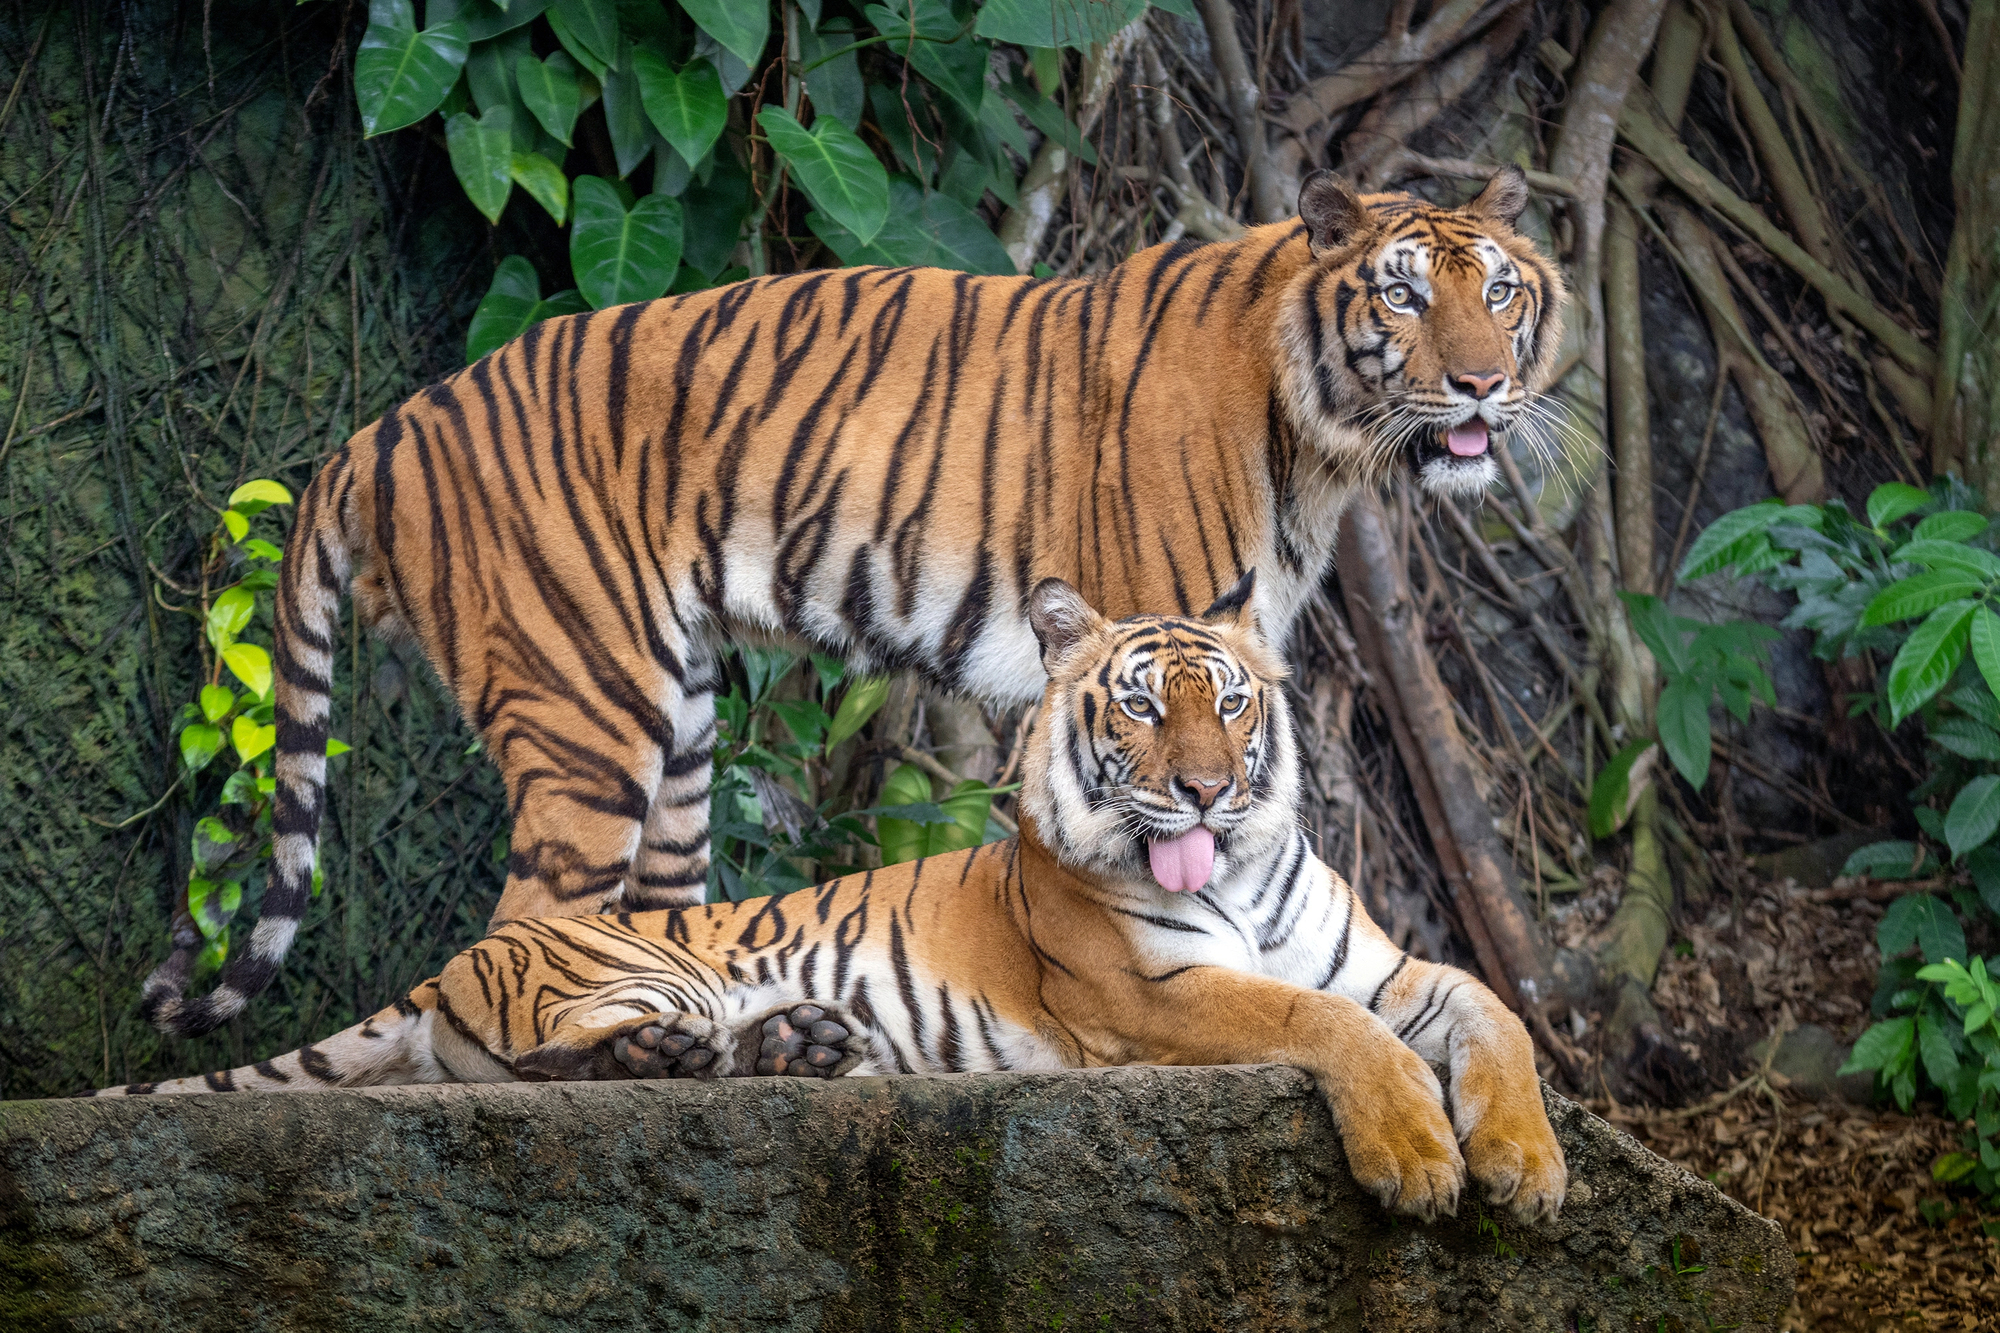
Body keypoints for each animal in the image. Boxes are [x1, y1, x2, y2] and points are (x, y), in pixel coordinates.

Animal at [106, 573, 1568, 1223]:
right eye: (1144, 707)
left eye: (1232, 701)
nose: (1206, 794)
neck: (1249, 874)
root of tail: (461, 957)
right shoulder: (1153, 994)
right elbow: (1328, 1029)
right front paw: (1419, 1159)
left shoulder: (1393, 968)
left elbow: (1495, 1014)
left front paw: (1525, 1166)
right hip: (632, 966)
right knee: (556, 1069)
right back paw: (690, 1053)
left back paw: (803, 1043)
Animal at [141, 165, 1565, 1036]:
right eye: (1402, 291)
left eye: (1498, 289)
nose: (1483, 385)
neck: (1321, 444)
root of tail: (382, 429)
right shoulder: (1141, 647)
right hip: (588, 711)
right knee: (519, 934)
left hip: (678, 722)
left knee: (656, 922)